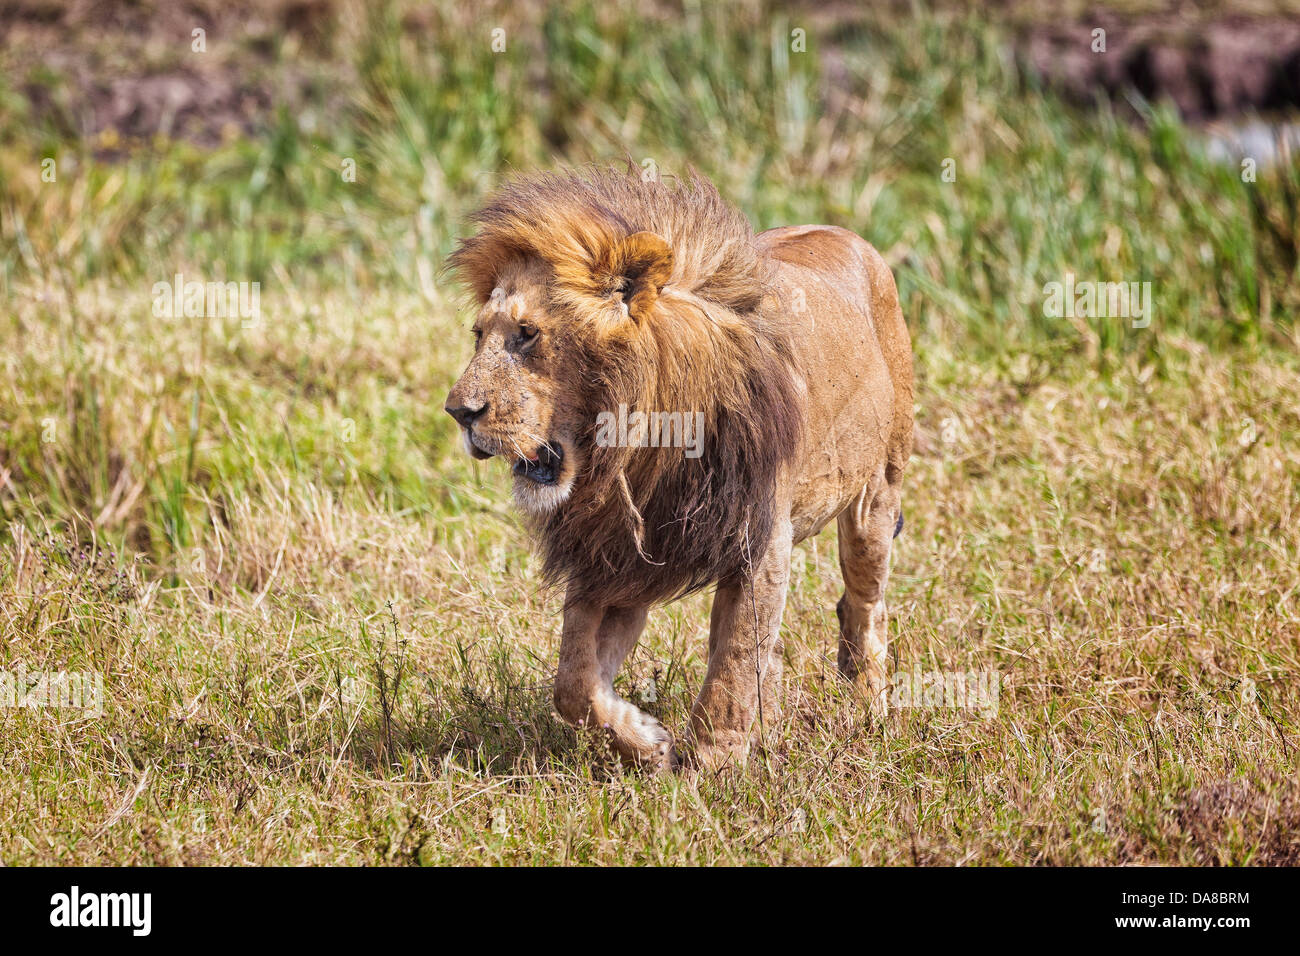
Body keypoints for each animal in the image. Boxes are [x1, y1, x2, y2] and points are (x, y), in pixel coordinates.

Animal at [445, 166, 913, 770]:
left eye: (528, 334)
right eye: (480, 336)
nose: (458, 412)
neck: (633, 450)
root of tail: (849, 235)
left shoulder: (759, 539)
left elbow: (731, 671)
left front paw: (709, 770)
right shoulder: (615, 556)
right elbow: (573, 682)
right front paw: (647, 742)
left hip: (876, 495)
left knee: (863, 602)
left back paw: (868, 708)